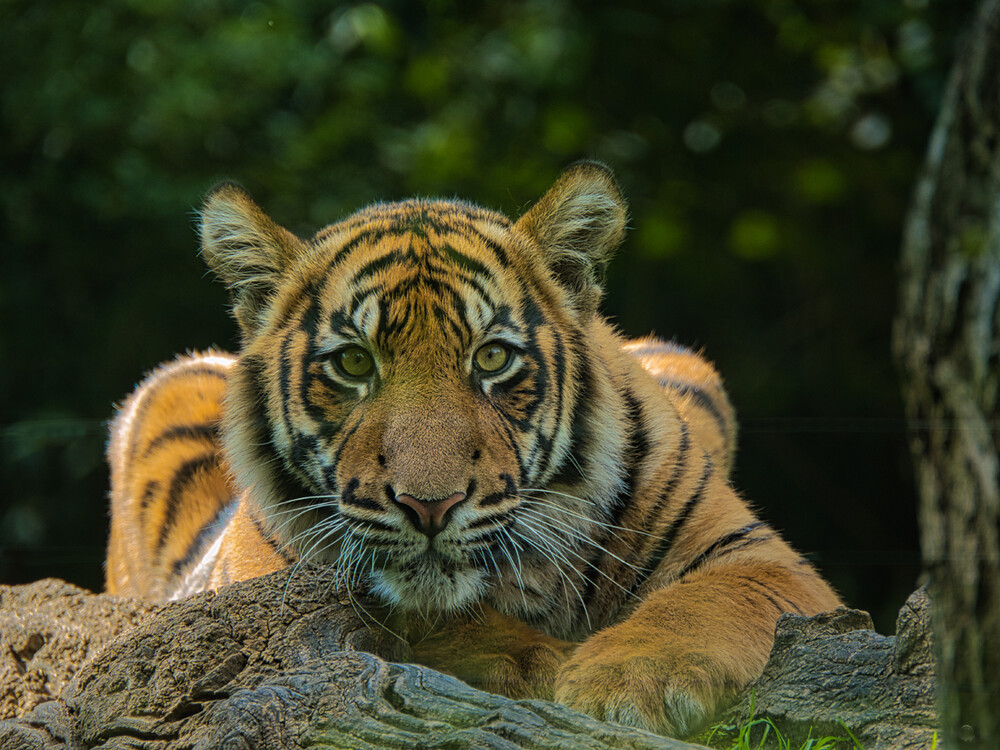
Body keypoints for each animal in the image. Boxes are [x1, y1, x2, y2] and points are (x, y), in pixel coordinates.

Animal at [103, 162, 836, 736]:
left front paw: (631, 683)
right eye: (353, 363)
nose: (431, 505)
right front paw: (531, 662)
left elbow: (702, 604)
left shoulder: (757, 555)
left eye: (491, 358)